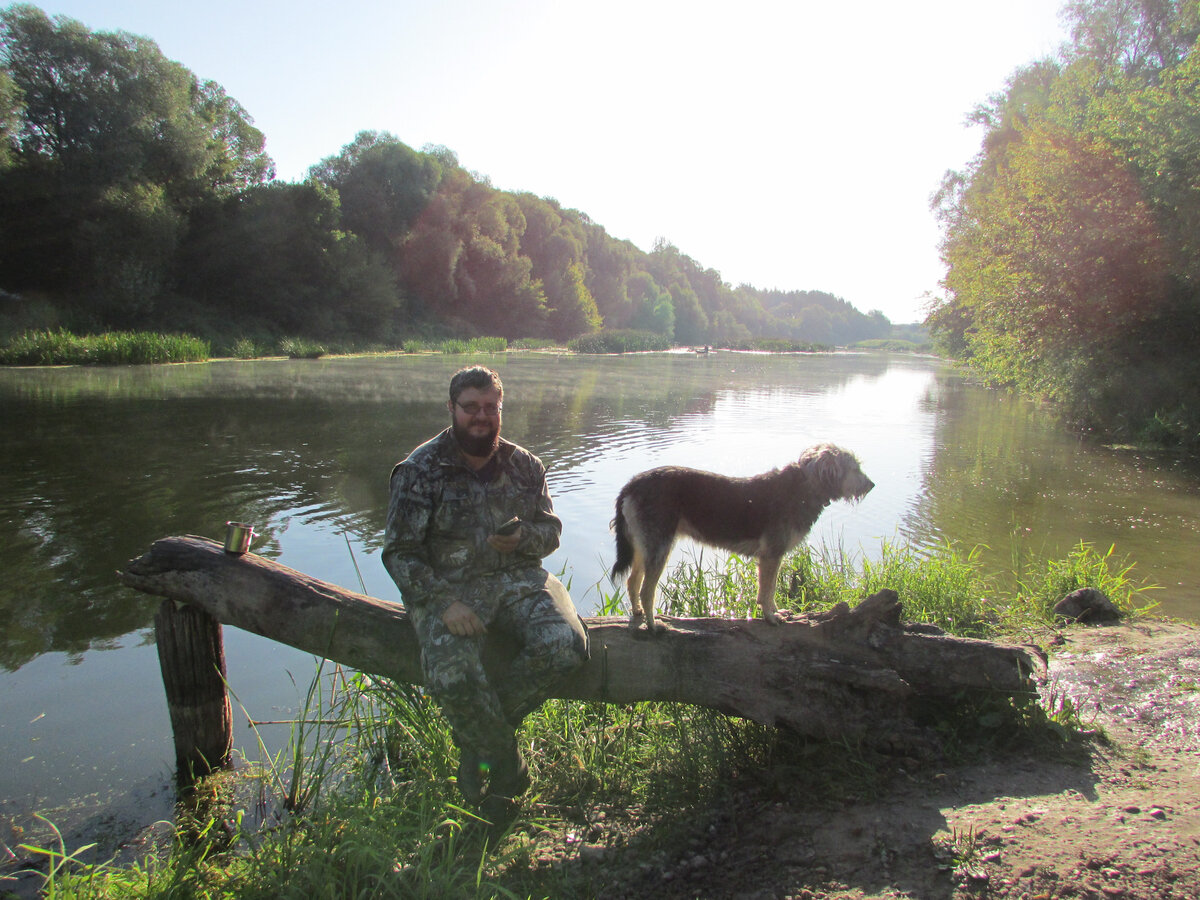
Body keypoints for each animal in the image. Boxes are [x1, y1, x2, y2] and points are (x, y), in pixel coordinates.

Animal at [609, 446, 873, 633]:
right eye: (855, 468)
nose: (871, 484)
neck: (803, 487)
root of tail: (631, 484)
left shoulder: (772, 557)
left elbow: (770, 588)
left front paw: (777, 612)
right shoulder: (771, 555)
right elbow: (767, 590)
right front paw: (770, 617)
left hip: (644, 546)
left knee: (633, 581)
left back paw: (638, 613)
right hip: (659, 547)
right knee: (647, 590)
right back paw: (653, 625)